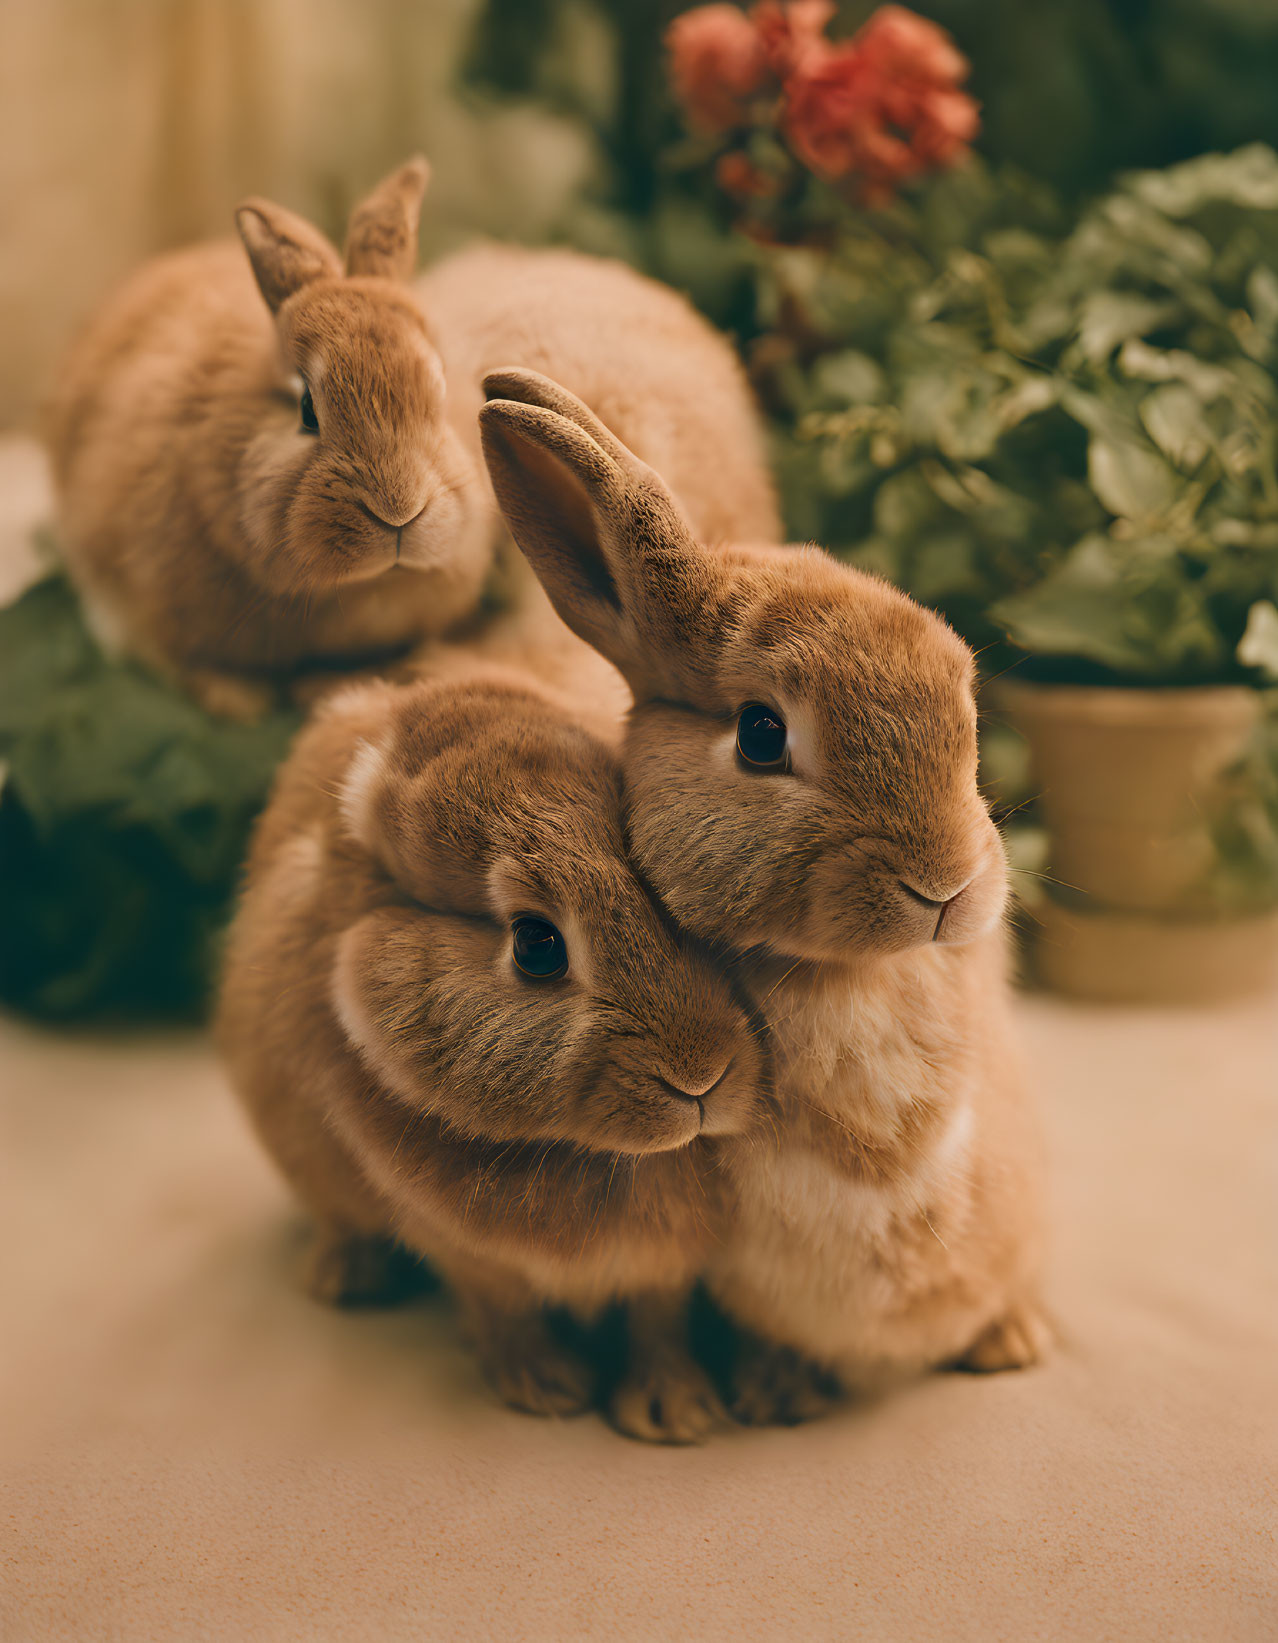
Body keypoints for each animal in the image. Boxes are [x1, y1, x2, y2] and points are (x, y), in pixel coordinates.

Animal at [216, 667, 765, 1439]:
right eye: (535, 944)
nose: (703, 1076)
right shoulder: (463, 1251)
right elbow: (505, 1311)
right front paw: (548, 1389)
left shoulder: (670, 1265)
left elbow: (657, 1319)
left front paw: (673, 1413)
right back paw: (344, 1279)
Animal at [479, 369, 1044, 1426]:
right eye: (760, 733)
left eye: (965, 697)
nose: (947, 884)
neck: (842, 973)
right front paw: (768, 1392)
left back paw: (1010, 1340)